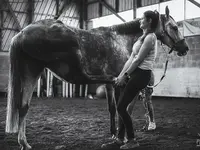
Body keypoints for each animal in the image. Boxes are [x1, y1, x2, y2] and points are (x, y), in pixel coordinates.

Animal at [5, 6, 188, 149]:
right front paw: (123, 137)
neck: (120, 39)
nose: (185, 48)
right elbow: (123, 108)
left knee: (23, 106)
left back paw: (24, 143)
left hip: (32, 70)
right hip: (70, 54)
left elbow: (113, 108)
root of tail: (21, 33)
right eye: (174, 27)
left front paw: (114, 134)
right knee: (82, 77)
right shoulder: (122, 86)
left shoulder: (111, 88)